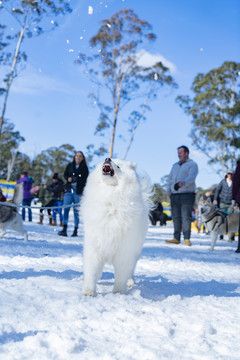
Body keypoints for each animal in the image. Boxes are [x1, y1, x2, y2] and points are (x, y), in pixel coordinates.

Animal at [81, 158, 151, 296]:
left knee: (130, 271)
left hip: (135, 252)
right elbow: (91, 270)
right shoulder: (94, 246)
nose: (107, 158)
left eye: (118, 166)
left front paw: (118, 292)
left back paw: (130, 282)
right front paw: (88, 291)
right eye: (108, 159)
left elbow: (121, 275)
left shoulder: (124, 252)